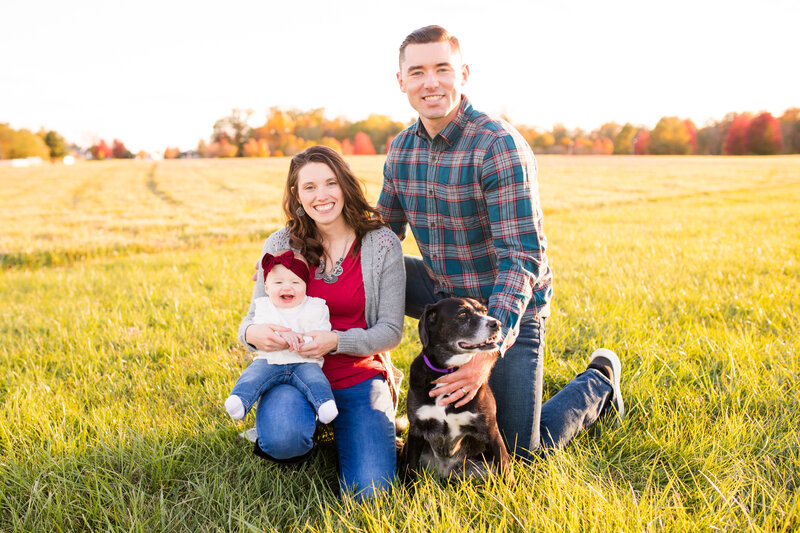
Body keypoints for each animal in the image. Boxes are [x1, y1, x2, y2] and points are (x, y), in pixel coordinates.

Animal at [400, 297, 513, 484]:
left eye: (484, 311)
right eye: (462, 314)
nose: (497, 323)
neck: (447, 371)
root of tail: (445, 472)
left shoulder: (491, 431)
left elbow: (505, 470)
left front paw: (509, 490)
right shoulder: (416, 431)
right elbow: (410, 467)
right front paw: (408, 490)